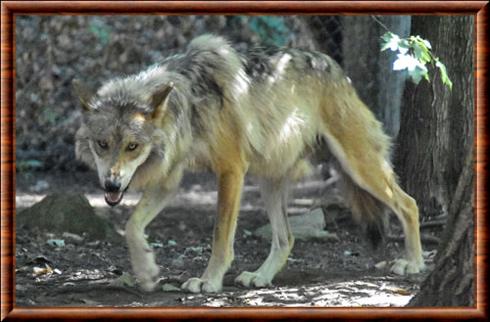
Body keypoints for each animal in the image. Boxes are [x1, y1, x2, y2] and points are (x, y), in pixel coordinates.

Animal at [73, 34, 424, 294]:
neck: (189, 105)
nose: (111, 185)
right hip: (270, 180)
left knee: (409, 204)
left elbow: (220, 236)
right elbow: (132, 226)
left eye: (132, 147)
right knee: (286, 238)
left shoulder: (230, 170)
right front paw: (146, 271)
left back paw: (413, 263)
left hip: (358, 166)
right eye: (102, 144)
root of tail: (335, 67)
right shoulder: (170, 180)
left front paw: (209, 281)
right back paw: (260, 277)